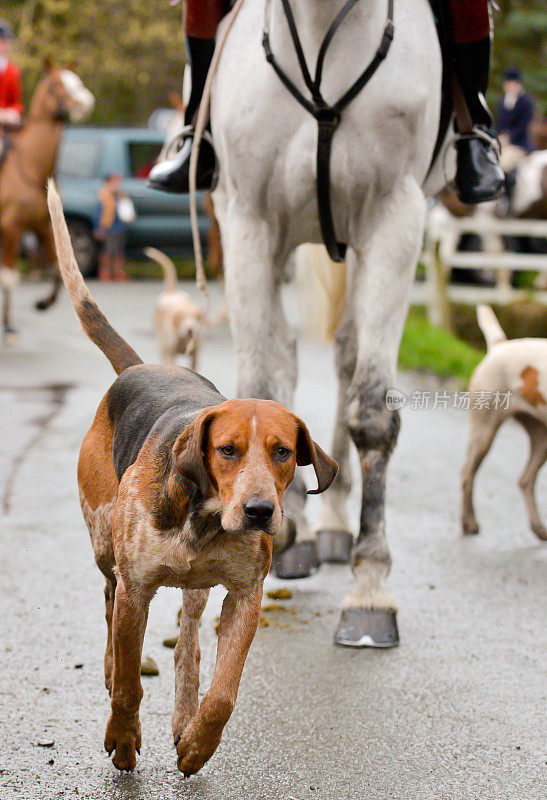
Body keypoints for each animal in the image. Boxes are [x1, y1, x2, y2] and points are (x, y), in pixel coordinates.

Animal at [0, 62, 94, 338]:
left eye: (77, 80)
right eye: (56, 84)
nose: (86, 102)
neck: (33, 169)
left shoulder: (44, 227)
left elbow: (57, 271)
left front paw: (43, 303)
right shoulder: (11, 228)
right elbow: (9, 278)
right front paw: (7, 324)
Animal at [210, 0, 450, 648]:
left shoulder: (396, 219)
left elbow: (372, 412)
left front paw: (370, 590)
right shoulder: (248, 222)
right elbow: (262, 390)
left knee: (345, 359)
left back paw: (337, 525)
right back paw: (297, 531)